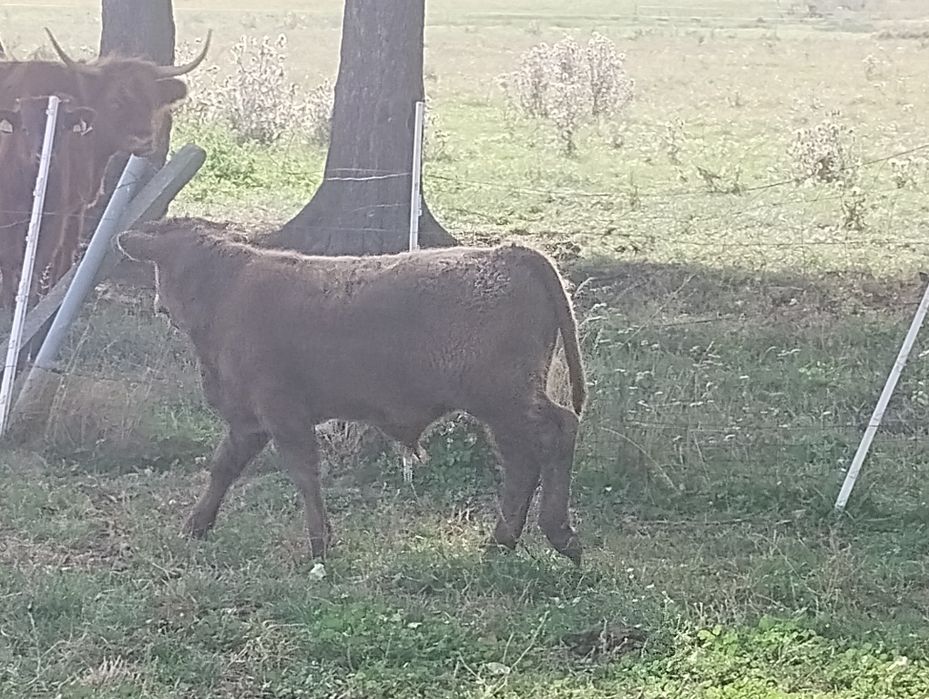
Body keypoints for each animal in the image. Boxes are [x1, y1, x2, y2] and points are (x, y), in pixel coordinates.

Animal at [0, 95, 95, 310]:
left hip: (76, 211)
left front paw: (30, 304)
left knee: (66, 251)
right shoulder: (6, 223)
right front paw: (8, 304)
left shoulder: (53, 223)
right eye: (24, 128)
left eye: (61, 129)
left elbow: (38, 262)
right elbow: (8, 262)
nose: (42, 155)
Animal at [116, 217, 588, 565]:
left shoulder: (281, 412)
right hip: (500, 409)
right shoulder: (249, 421)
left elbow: (304, 472)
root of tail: (506, 252)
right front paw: (196, 526)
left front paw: (320, 542)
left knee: (558, 430)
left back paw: (560, 534)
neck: (226, 289)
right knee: (522, 462)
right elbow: (223, 467)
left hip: (505, 397)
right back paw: (501, 542)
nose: (160, 305)